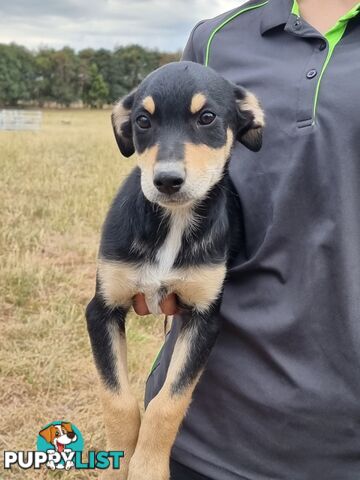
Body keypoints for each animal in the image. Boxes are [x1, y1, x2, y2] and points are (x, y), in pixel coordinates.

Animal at [85, 61, 262, 480]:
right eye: (142, 121)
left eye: (207, 117)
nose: (166, 181)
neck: (174, 222)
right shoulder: (101, 310)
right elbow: (116, 399)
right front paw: (119, 462)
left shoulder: (204, 319)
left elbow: (168, 403)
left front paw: (147, 467)